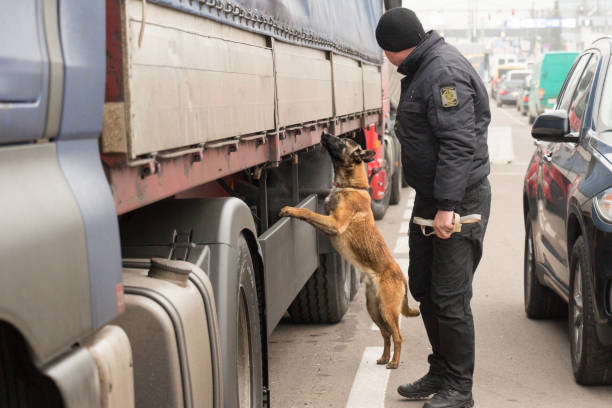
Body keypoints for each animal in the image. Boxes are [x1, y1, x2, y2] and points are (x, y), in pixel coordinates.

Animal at [278, 131, 418, 370]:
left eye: (342, 141)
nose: (324, 132)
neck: (352, 186)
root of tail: (401, 276)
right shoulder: (329, 218)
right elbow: (315, 213)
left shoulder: (334, 223)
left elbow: (308, 212)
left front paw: (291, 210)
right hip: (374, 310)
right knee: (386, 334)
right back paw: (384, 357)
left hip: (387, 310)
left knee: (397, 336)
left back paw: (394, 362)